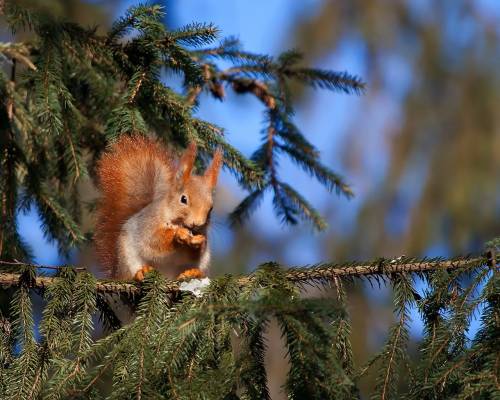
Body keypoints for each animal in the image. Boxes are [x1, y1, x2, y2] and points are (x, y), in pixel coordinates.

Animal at [94, 134, 223, 282]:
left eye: (211, 208)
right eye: (183, 199)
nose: (197, 223)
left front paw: (198, 242)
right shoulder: (148, 224)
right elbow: (154, 242)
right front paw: (177, 236)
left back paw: (193, 273)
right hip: (127, 258)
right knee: (130, 274)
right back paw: (141, 272)